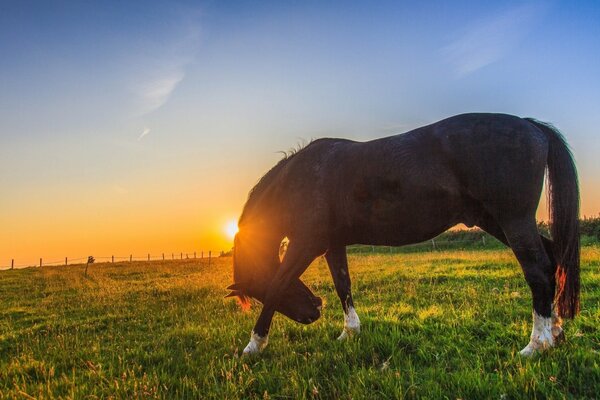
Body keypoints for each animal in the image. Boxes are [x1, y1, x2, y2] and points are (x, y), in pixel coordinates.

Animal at [227, 112, 580, 356]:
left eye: (256, 290)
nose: (314, 310)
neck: (300, 179)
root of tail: (530, 126)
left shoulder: (305, 245)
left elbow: (279, 284)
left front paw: (253, 346)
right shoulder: (333, 245)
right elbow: (343, 286)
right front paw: (350, 332)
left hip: (513, 221)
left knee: (538, 270)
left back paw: (536, 344)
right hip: (496, 221)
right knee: (552, 261)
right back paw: (555, 333)